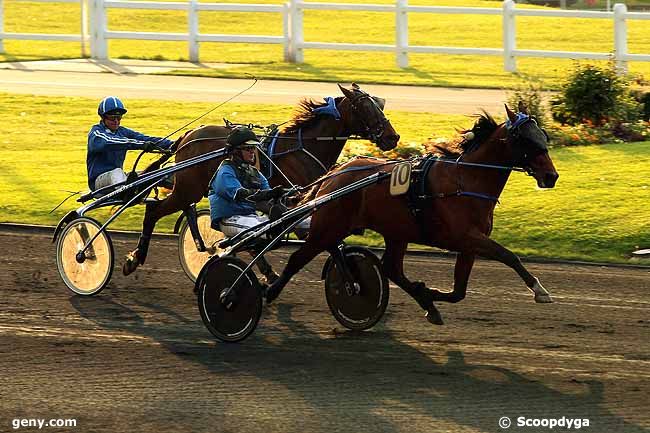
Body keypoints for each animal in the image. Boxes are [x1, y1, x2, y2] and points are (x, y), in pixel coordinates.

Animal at [119, 83, 398, 280]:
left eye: (379, 105)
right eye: (365, 107)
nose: (392, 137)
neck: (303, 148)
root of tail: (188, 135)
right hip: (188, 189)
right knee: (153, 211)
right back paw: (134, 258)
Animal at [264, 102, 556, 324]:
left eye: (543, 135)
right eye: (525, 139)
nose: (551, 176)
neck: (466, 180)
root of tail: (334, 175)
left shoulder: (469, 243)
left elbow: (459, 290)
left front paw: (429, 294)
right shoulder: (465, 237)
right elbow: (509, 256)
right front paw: (540, 290)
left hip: (396, 231)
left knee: (391, 269)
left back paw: (427, 304)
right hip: (328, 228)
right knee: (297, 259)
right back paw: (268, 291)